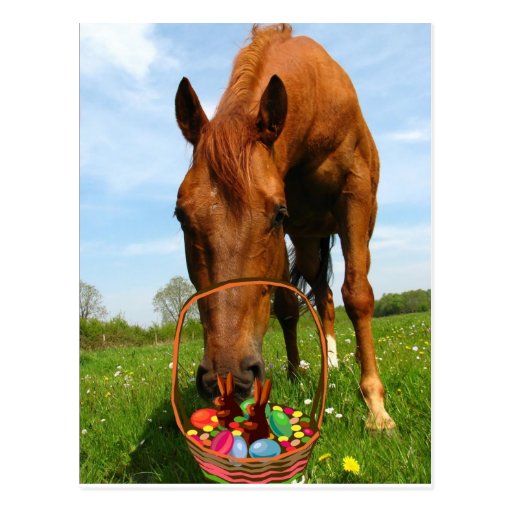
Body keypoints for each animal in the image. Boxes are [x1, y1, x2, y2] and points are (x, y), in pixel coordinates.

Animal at [174, 25, 394, 432]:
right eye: (181, 216)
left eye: (276, 214)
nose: (226, 377)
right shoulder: (293, 232)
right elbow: (288, 306)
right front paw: (294, 375)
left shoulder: (353, 194)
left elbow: (358, 295)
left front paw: (375, 407)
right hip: (308, 241)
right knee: (322, 296)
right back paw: (329, 360)